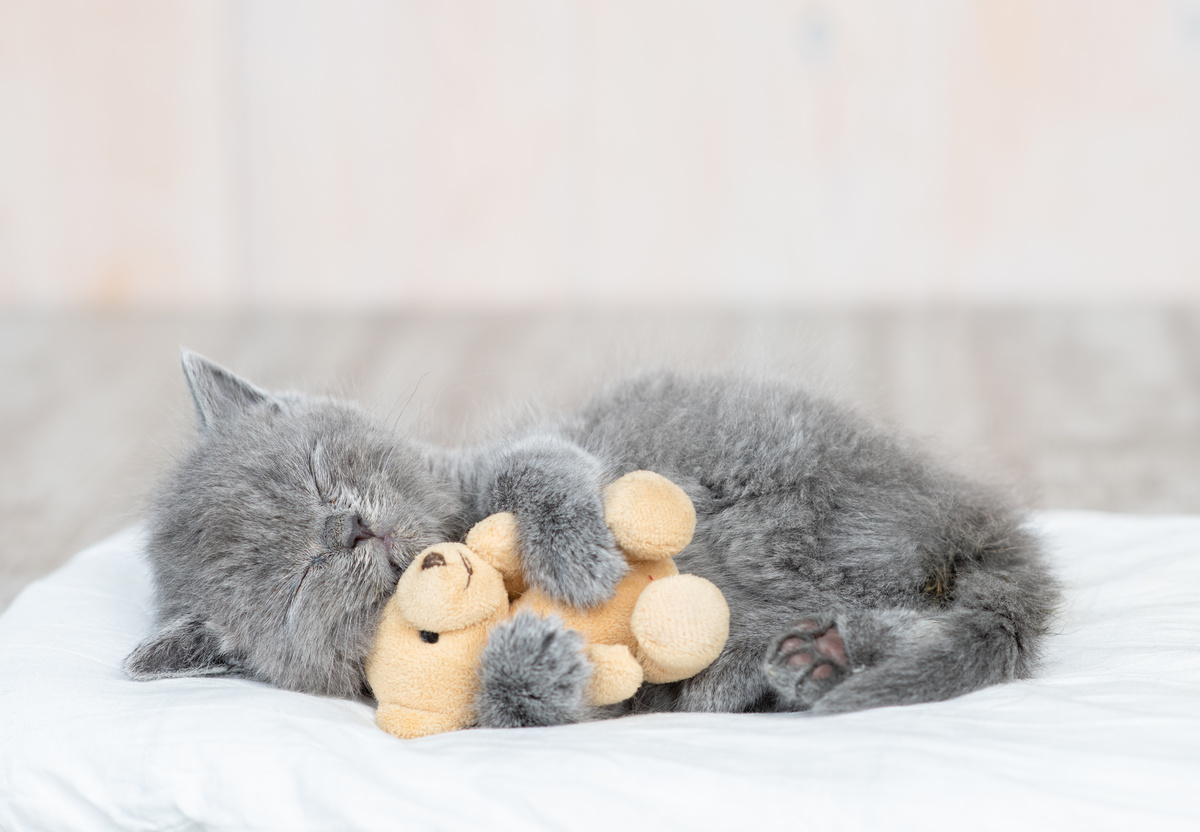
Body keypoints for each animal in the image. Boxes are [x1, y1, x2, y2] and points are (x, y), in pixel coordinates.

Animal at [126, 352, 1056, 725]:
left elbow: (540, 469)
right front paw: (534, 664)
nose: (348, 523)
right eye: (301, 574)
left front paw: (578, 560)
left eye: (319, 470)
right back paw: (800, 663)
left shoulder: (513, 457)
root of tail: (974, 516)